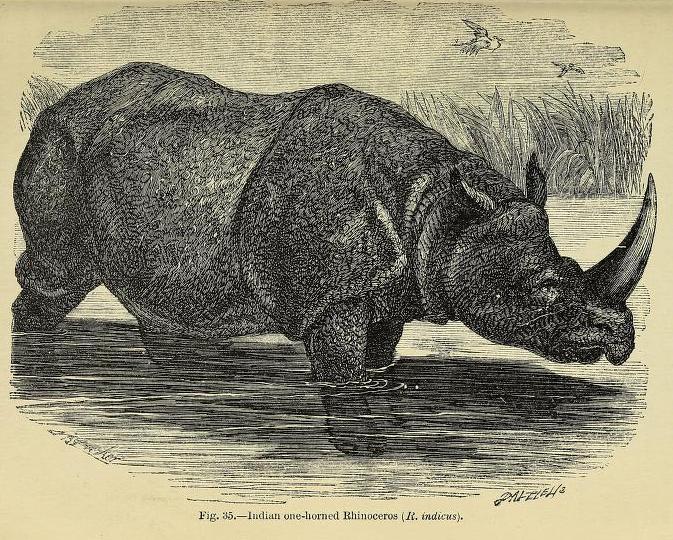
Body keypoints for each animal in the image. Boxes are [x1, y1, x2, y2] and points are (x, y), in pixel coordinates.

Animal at [13, 62, 656, 383]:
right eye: (544, 289)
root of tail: (52, 109)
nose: (620, 337)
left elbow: (377, 356)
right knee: (56, 275)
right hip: (59, 151)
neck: (439, 210)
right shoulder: (331, 301)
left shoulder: (392, 295)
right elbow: (340, 372)